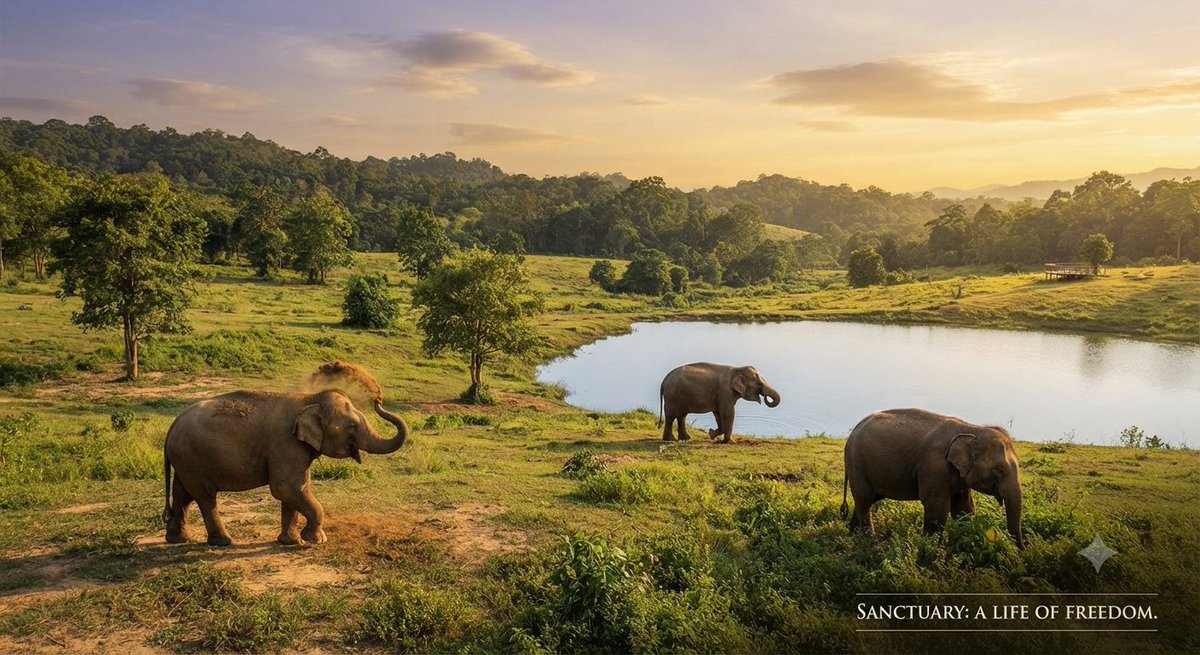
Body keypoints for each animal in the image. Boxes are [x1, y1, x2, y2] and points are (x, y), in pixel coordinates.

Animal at [162, 389, 409, 546]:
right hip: (192, 457)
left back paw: (178, 539)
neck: (308, 399)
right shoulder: (286, 444)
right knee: (204, 496)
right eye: (352, 426)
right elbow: (285, 487)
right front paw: (315, 540)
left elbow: (295, 489)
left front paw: (290, 542)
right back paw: (223, 542)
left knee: (183, 494)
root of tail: (173, 424)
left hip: (185, 459)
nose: (378, 399)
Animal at [841, 408, 1024, 548]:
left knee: (864, 501)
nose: (1019, 551)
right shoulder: (934, 467)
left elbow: (964, 509)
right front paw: (931, 551)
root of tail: (853, 432)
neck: (971, 428)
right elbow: (937, 509)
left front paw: (962, 544)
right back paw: (867, 542)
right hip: (857, 464)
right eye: (999, 469)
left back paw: (852, 536)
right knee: (865, 501)